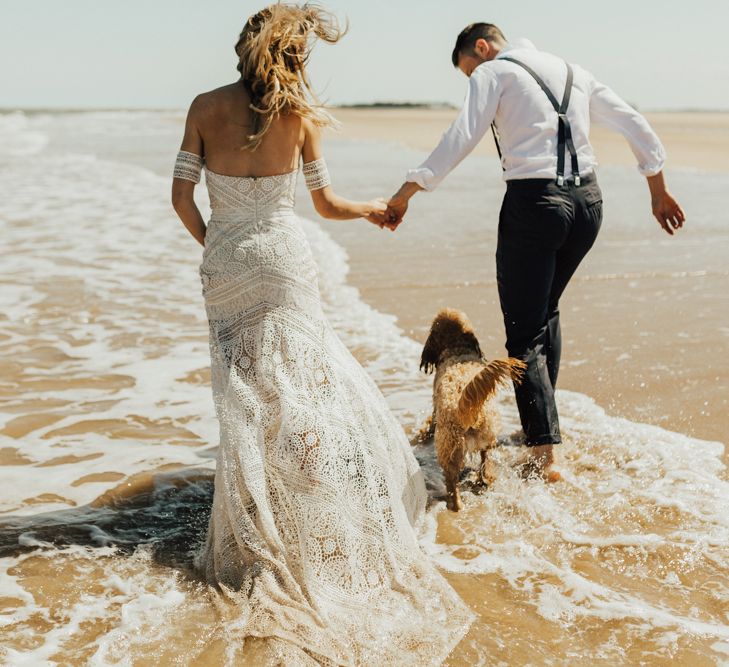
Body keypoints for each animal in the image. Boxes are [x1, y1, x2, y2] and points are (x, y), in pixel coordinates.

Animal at [418, 308, 528, 512]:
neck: (459, 350)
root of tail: (465, 409)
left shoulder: (436, 409)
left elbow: (431, 421)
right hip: (488, 437)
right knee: (486, 461)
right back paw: (485, 479)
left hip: (448, 447)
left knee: (452, 481)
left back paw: (455, 504)